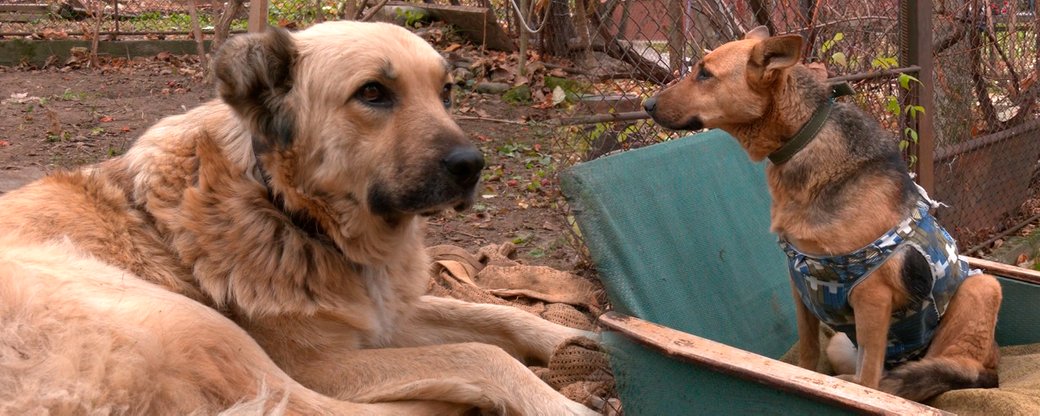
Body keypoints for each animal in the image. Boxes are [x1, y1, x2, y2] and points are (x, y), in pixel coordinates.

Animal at [0, 21, 599, 413]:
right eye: (373, 93)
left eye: (446, 92)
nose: (474, 166)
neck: (284, 209)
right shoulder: (319, 365)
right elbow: (478, 353)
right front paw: (559, 401)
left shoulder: (381, 318)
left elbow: (491, 315)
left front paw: (573, 338)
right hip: (201, 327)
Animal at [644, 26, 1002, 403]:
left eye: (705, 74)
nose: (646, 105)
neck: (803, 137)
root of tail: (994, 365)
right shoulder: (800, 283)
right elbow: (807, 357)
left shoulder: (871, 296)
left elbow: (868, 384)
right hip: (843, 344)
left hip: (982, 289)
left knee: (933, 372)